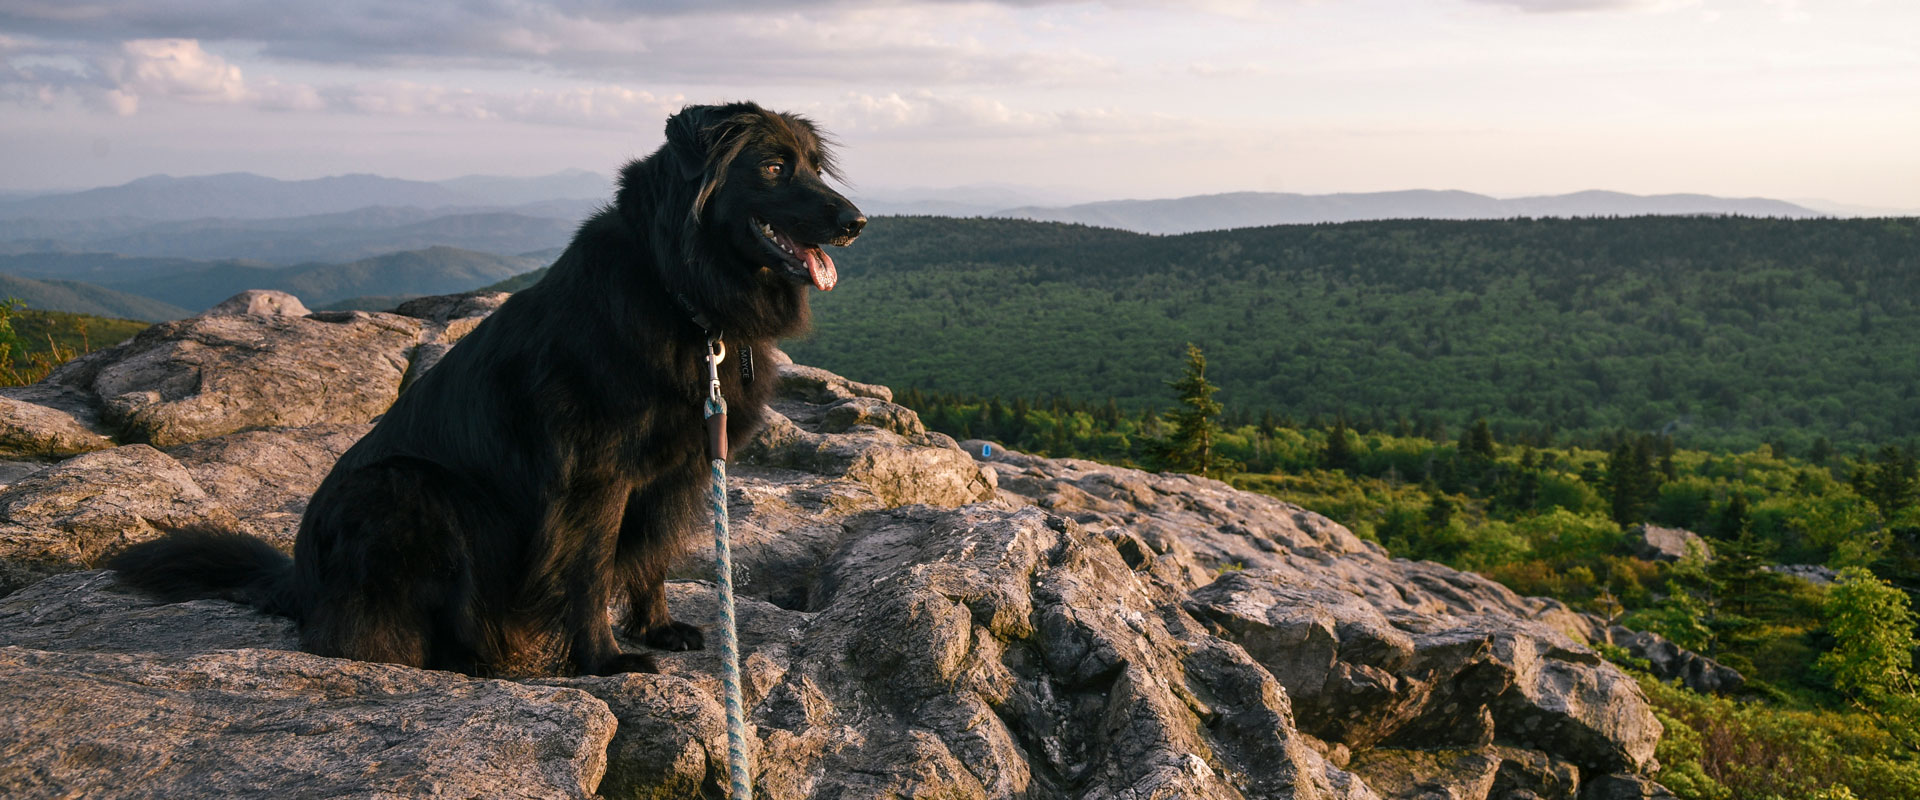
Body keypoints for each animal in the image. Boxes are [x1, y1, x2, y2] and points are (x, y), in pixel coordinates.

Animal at [112, 101, 871, 675]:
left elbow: (650, 558)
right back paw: (473, 660)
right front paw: (604, 660)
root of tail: (299, 578)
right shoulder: (595, 478)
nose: (857, 222)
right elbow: (590, 569)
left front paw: (656, 627)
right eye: (772, 167)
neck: (677, 289)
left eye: (815, 165)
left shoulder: (671, 474)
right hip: (407, 488)